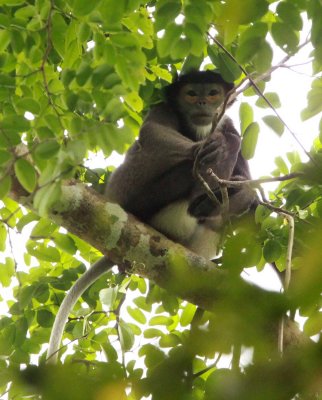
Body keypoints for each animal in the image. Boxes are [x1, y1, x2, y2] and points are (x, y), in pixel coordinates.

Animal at [46, 69, 256, 362]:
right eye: (191, 93)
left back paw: (208, 201)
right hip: (126, 189)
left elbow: (242, 165)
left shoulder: (225, 120)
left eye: (213, 93)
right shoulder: (164, 108)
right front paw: (206, 148)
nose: (203, 103)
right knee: (153, 153)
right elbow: (152, 132)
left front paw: (238, 184)